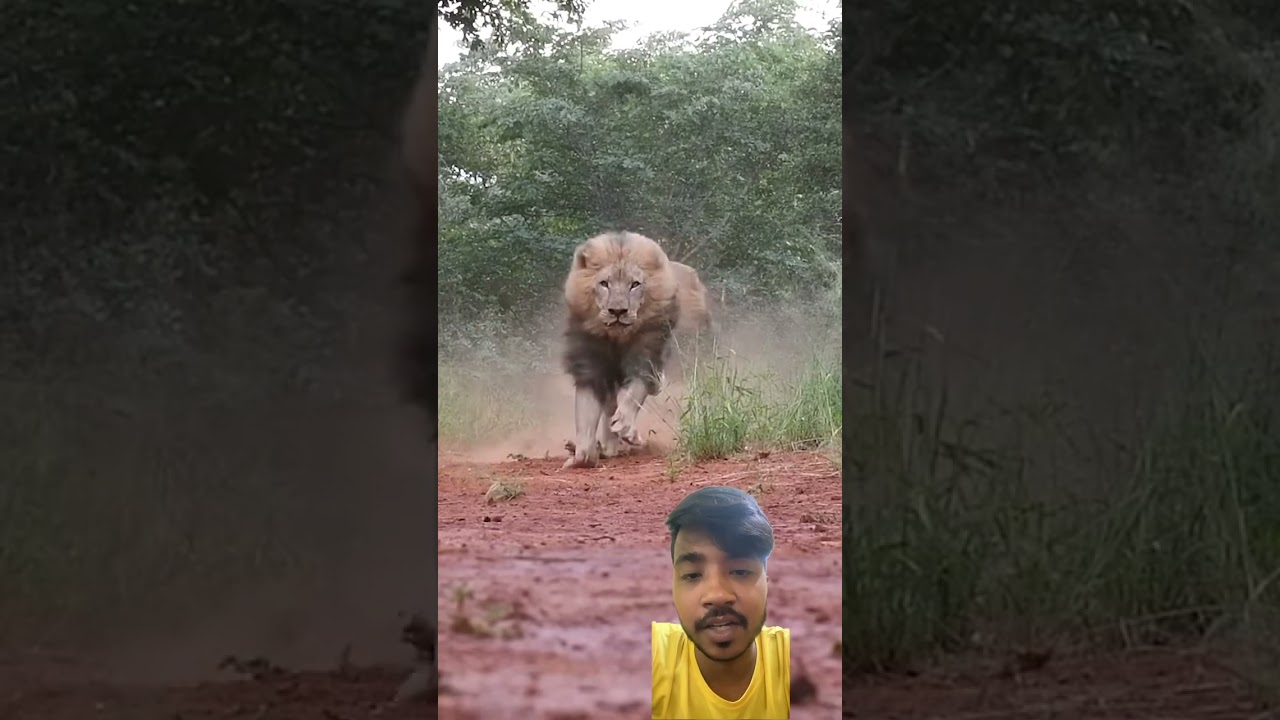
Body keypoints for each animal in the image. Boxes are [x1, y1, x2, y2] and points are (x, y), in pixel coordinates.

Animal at [561, 232, 714, 469]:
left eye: (635, 284)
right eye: (604, 283)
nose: (617, 311)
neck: (617, 338)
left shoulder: (648, 357)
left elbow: (634, 393)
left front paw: (624, 425)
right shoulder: (590, 364)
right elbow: (586, 411)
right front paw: (583, 455)